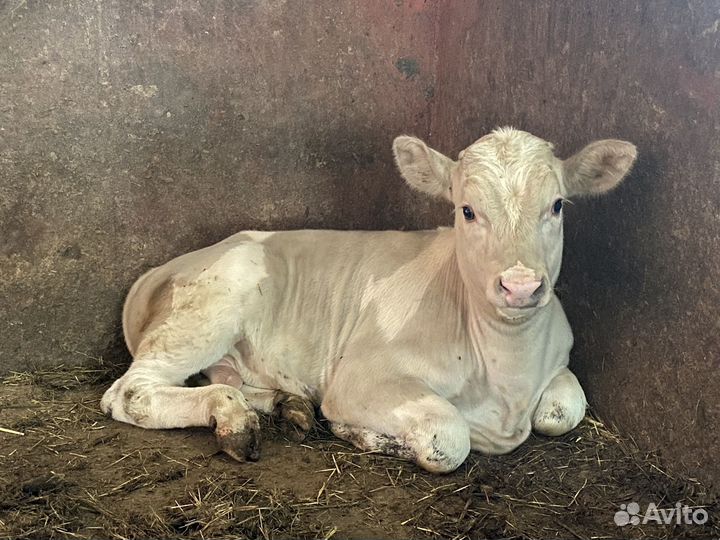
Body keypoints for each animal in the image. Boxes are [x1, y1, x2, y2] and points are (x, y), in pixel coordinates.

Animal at [100, 128, 636, 473]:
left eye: (557, 205)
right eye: (467, 210)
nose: (520, 285)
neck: (506, 383)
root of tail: (166, 266)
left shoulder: (559, 362)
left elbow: (563, 409)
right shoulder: (362, 377)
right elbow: (448, 437)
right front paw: (364, 436)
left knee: (227, 378)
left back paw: (288, 406)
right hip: (210, 308)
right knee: (130, 393)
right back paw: (232, 419)